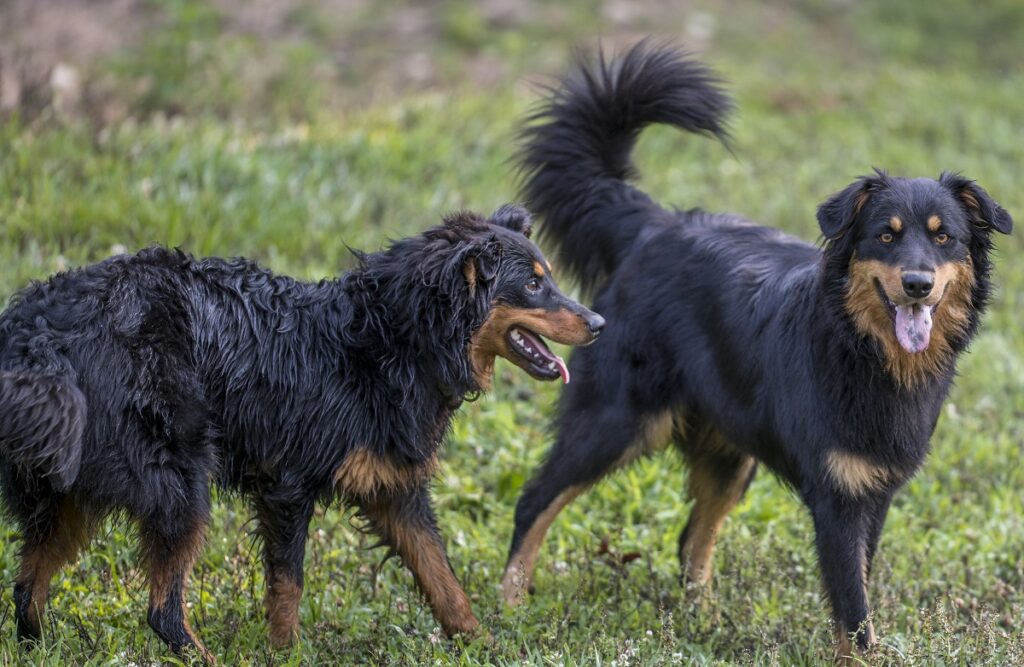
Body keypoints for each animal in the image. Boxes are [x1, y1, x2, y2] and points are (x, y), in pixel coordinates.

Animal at [0, 204, 598, 663]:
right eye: (534, 284)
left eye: (549, 278)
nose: (599, 323)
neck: (390, 340)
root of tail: (37, 331)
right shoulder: (287, 485)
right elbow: (288, 586)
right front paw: (285, 654)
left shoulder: (395, 491)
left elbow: (444, 582)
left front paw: (486, 646)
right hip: (179, 483)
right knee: (162, 611)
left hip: (70, 487)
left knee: (28, 590)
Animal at [499, 43, 1011, 663]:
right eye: (885, 236)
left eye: (943, 237)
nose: (917, 284)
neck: (861, 349)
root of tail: (655, 226)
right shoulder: (838, 500)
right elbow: (853, 609)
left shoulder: (874, 491)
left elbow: (859, 591)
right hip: (617, 420)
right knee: (535, 500)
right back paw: (509, 606)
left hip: (728, 450)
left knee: (690, 541)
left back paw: (701, 622)